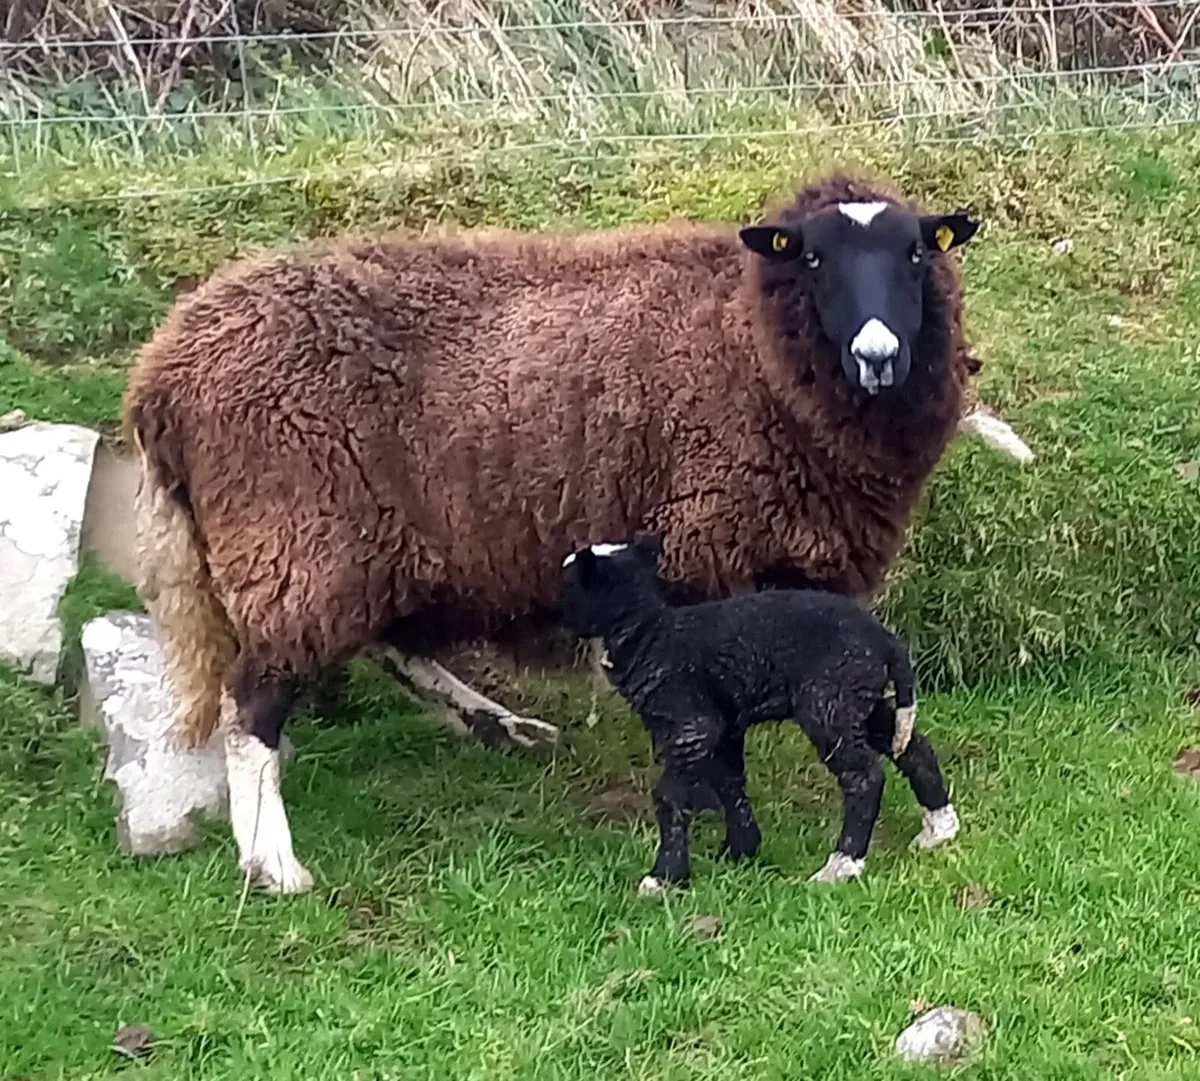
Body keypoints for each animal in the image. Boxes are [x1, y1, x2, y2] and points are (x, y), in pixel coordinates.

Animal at [559, 534, 959, 892]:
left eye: (570, 585)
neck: (649, 632)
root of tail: (886, 641)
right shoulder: (726, 727)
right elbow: (730, 783)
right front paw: (741, 851)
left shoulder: (691, 725)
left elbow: (670, 797)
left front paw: (665, 877)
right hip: (859, 701)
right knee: (913, 749)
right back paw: (939, 828)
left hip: (827, 704)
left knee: (864, 777)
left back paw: (843, 864)